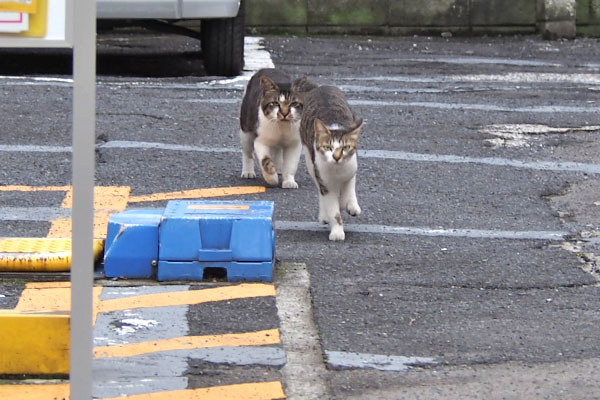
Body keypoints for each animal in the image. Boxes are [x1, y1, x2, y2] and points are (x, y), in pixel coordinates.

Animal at [302, 84, 364, 241]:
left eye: (345, 147)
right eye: (327, 147)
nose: (336, 157)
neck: (337, 171)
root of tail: (321, 87)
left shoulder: (351, 169)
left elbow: (348, 190)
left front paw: (348, 204)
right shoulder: (324, 181)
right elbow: (333, 209)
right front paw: (337, 232)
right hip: (309, 159)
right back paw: (324, 216)